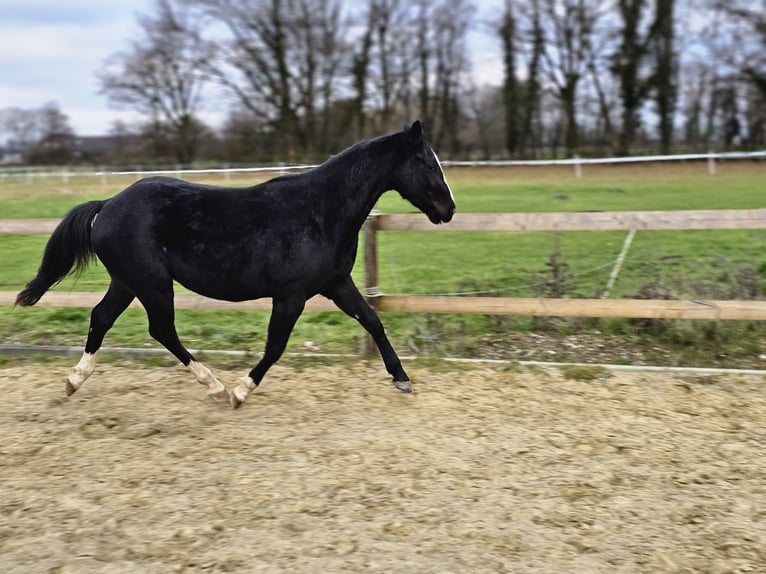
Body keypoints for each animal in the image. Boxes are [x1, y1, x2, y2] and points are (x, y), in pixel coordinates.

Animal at [16, 121, 455, 409]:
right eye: (428, 164)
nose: (448, 210)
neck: (320, 210)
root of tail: (107, 205)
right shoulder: (291, 295)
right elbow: (276, 345)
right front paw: (242, 391)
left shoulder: (336, 284)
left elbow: (373, 321)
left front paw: (402, 380)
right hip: (152, 283)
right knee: (161, 329)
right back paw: (214, 386)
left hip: (127, 281)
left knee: (102, 317)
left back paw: (73, 382)